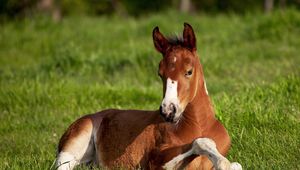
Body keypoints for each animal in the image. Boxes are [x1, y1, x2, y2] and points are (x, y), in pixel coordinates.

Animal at [56, 22, 238, 170]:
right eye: (160, 74)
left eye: (189, 71)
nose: (168, 111)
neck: (199, 125)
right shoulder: (155, 160)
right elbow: (201, 141)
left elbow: (235, 164)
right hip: (73, 145)